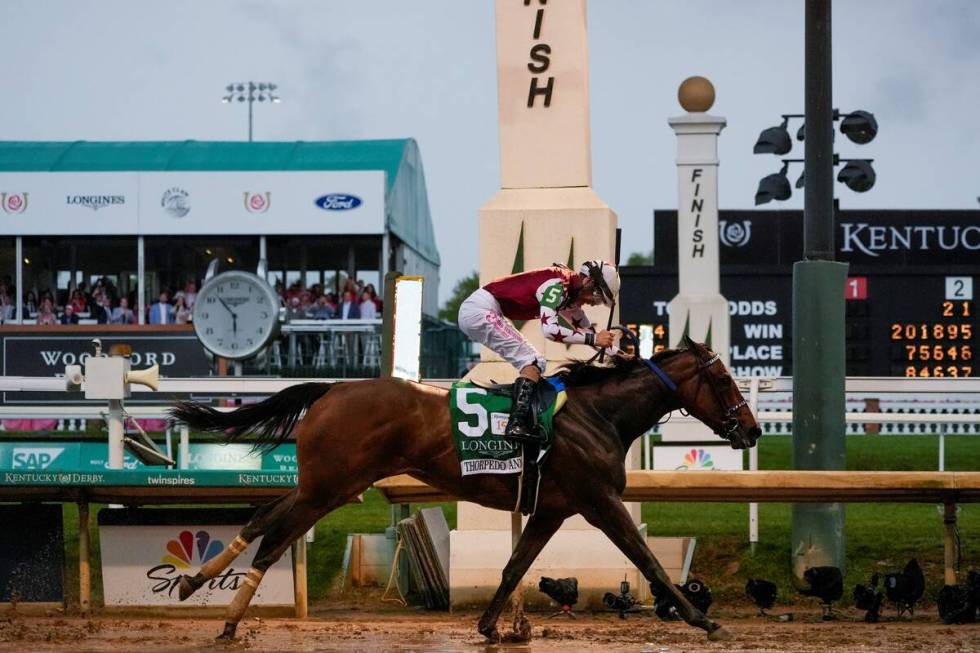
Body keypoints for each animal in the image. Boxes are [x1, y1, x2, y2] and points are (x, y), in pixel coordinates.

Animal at [172, 336, 760, 640]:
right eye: (723, 379)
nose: (752, 429)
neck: (599, 414)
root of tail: (333, 388)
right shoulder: (599, 501)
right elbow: (648, 560)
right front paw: (704, 619)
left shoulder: (552, 508)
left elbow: (516, 565)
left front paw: (489, 626)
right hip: (331, 487)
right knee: (275, 538)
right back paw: (228, 622)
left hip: (328, 483)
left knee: (261, 517)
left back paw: (194, 582)